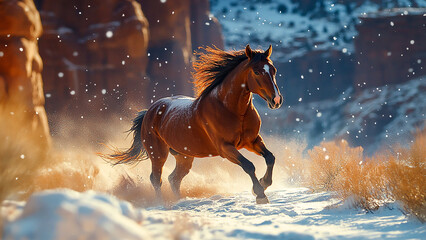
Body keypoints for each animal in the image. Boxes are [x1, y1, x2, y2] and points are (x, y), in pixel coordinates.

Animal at [101, 44, 282, 203]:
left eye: (273, 70)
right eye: (256, 71)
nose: (276, 100)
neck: (231, 109)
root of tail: (149, 111)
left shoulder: (252, 141)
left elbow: (270, 158)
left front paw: (264, 184)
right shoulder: (225, 148)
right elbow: (249, 165)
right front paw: (260, 194)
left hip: (184, 156)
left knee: (174, 179)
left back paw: (179, 200)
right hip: (158, 153)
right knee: (156, 179)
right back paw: (162, 203)